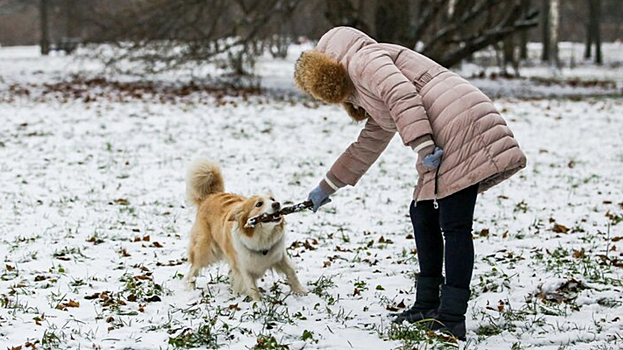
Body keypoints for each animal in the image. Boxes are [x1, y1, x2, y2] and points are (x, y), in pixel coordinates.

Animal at [184, 159, 308, 300]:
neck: (261, 237)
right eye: (259, 204)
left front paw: (301, 291)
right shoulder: (243, 267)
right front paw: (258, 302)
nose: (277, 204)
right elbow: (251, 286)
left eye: (272, 199)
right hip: (206, 250)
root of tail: (211, 195)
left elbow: (291, 272)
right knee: (194, 268)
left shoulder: (279, 257)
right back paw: (190, 287)